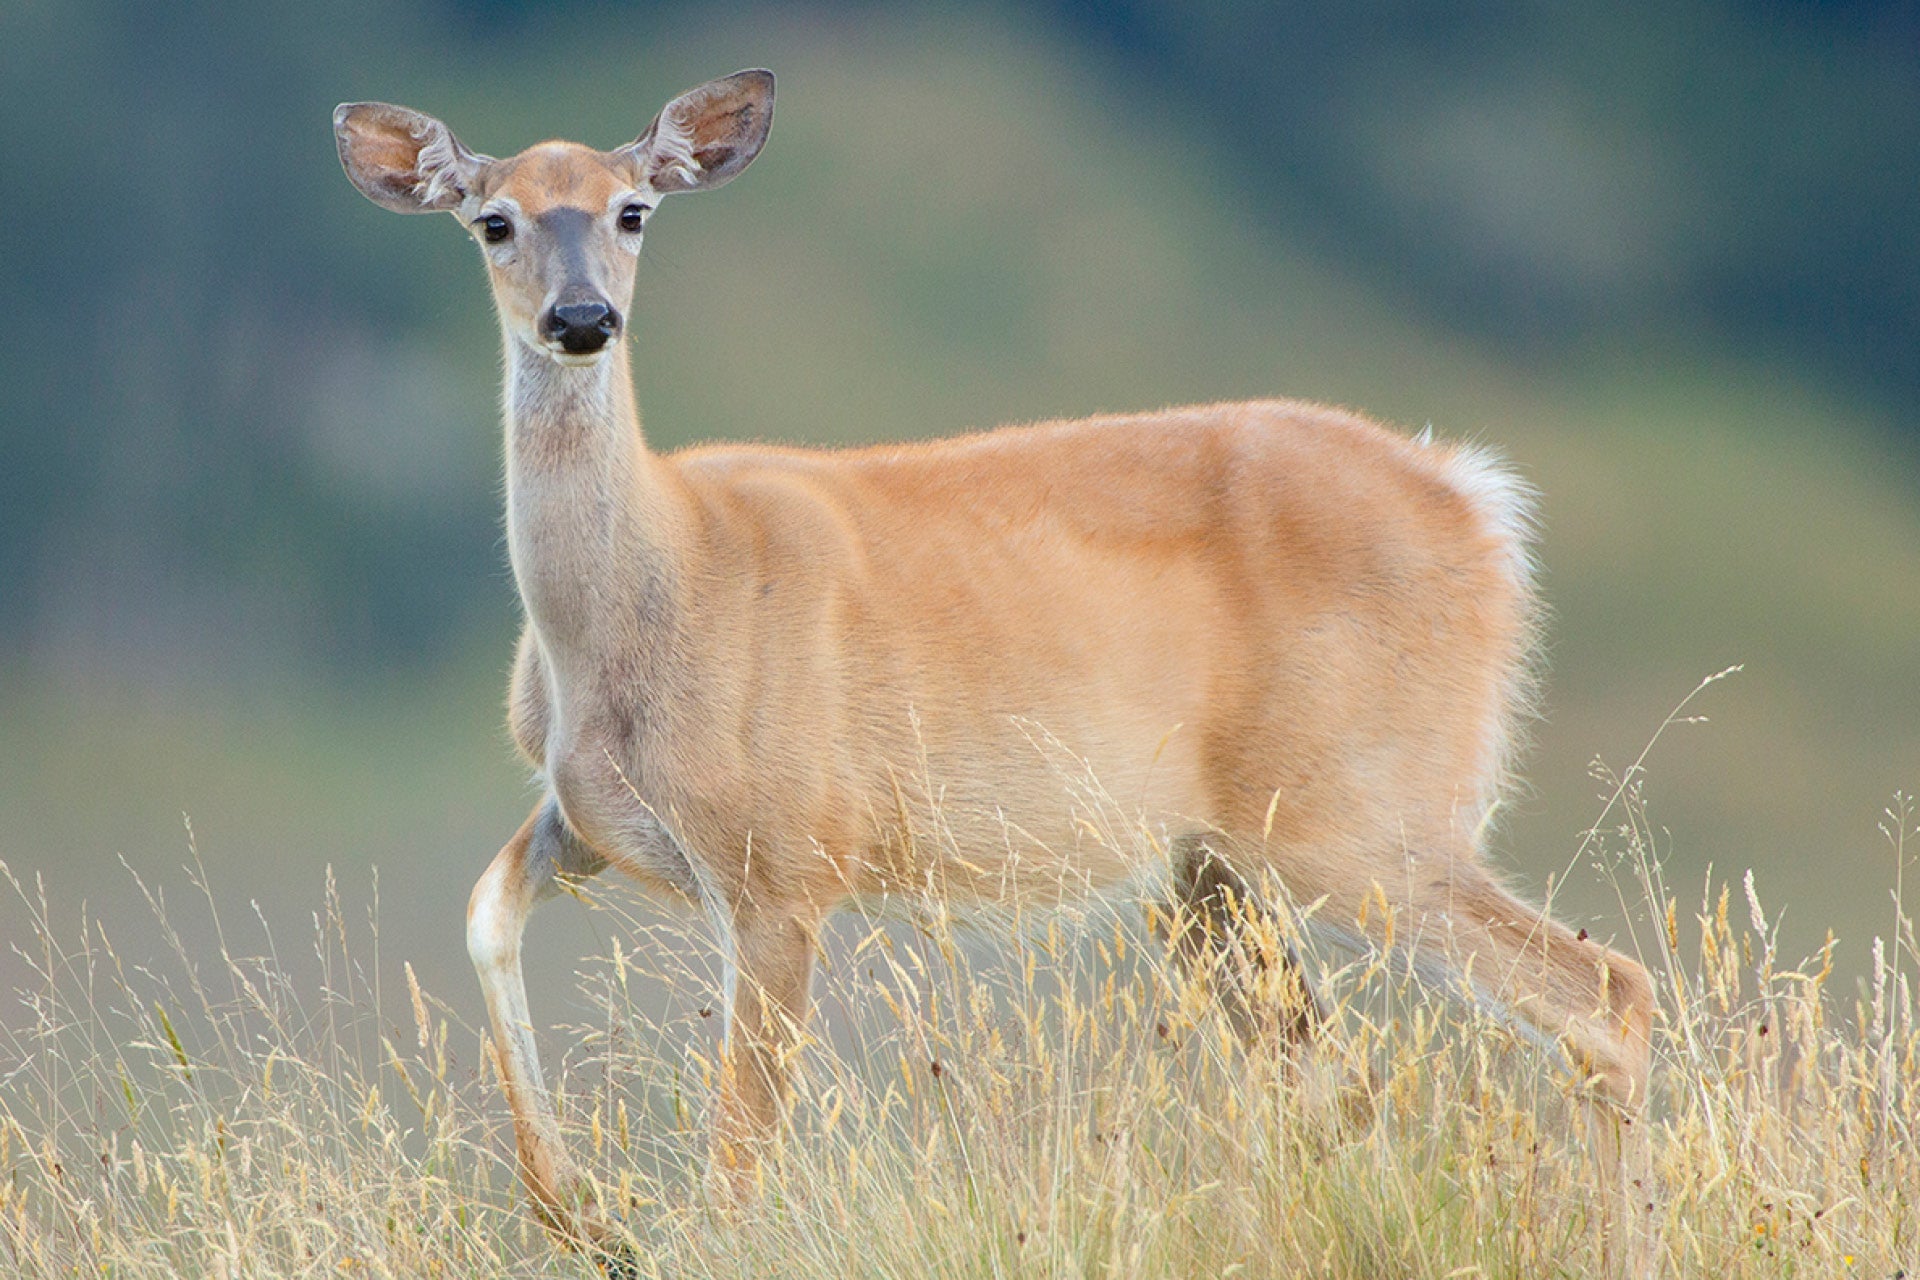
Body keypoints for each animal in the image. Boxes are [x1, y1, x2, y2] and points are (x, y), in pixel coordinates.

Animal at [337, 70, 1658, 1274]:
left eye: (633, 210)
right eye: (493, 219)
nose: (580, 319)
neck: (649, 593)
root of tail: (1480, 506)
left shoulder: (785, 853)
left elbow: (741, 1150)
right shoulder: (592, 818)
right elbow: (482, 917)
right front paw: (577, 1213)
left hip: (1361, 801)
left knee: (1605, 991)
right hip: (1215, 864)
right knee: (1338, 1078)